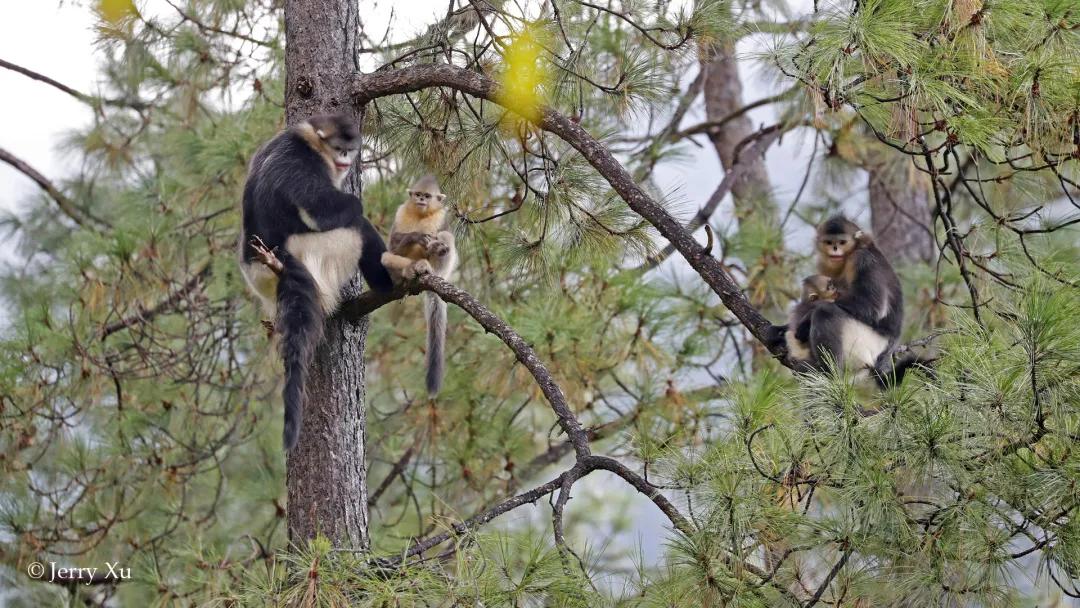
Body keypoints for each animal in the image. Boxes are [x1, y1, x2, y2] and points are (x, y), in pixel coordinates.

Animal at [382, 174, 457, 395]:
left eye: (427, 196)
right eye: (418, 194)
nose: (421, 200)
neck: (421, 215)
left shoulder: (442, 217)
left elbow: (443, 235)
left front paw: (434, 246)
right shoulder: (399, 213)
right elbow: (393, 245)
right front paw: (414, 237)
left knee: (446, 237)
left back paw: (427, 267)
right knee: (385, 256)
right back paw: (409, 271)